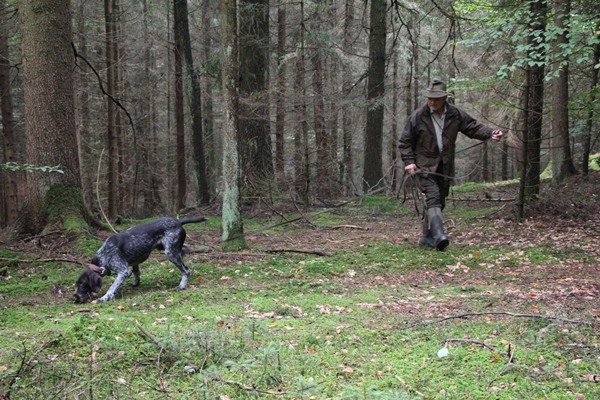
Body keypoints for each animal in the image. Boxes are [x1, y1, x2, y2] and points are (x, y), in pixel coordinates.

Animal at [74, 217, 207, 302]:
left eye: (83, 285)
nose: (75, 297)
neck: (104, 253)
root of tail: (178, 221)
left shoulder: (123, 271)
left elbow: (113, 286)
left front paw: (105, 297)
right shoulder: (134, 261)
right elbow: (136, 272)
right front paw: (136, 283)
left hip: (170, 253)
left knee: (186, 270)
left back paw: (182, 285)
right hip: (170, 248)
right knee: (185, 249)